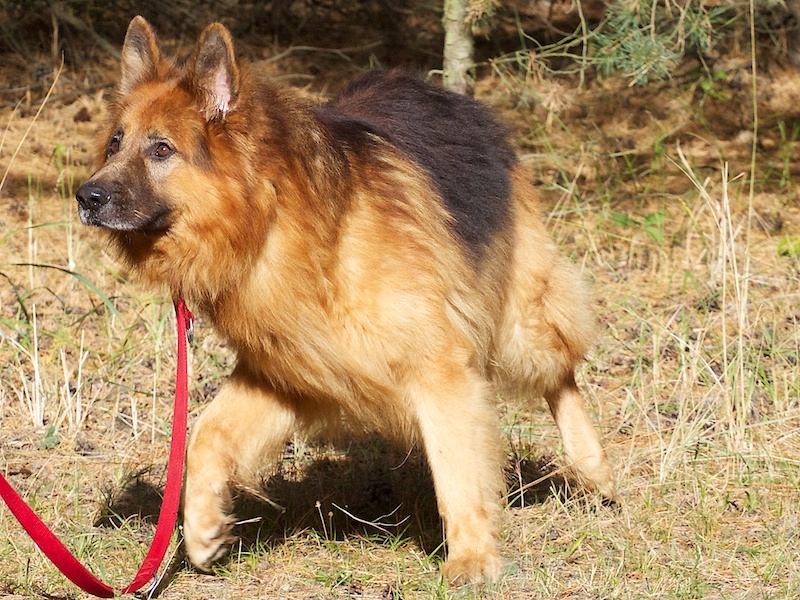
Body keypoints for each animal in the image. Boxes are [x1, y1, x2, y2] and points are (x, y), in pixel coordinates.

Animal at [75, 16, 616, 584]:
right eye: (114, 144)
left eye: (161, 149)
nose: (86, 196)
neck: (273, 220)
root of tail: (439, 91)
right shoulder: (288, 371)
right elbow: (205, 434)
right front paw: (202, 532)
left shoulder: (439, 366)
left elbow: (457, 469)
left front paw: (472, 557)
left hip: (521, 324)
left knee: (561, 375)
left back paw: (593, 469)